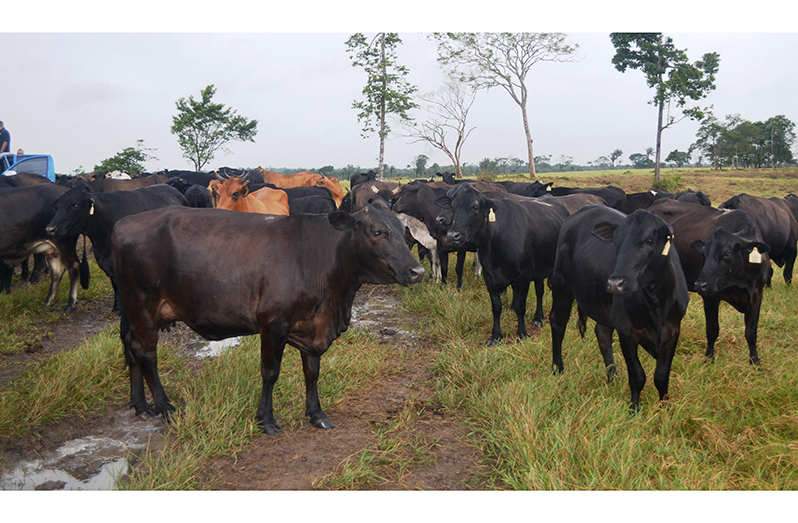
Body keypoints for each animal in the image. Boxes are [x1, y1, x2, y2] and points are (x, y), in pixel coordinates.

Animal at [113, 201, 428, 434]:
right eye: (376, 232)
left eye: (403, 230)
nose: (417, 271)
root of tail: (124, 222)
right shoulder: (273, 324)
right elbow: (270, 372)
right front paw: (266, 420)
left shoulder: (312, 325)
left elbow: (312, 371)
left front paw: (316, 414)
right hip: (143, 303)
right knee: (147, 354)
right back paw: (164, 407)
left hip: (133, 309)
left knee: (131, 345)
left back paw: (140, 404)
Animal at [552, 206, 692, 414]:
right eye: (616, 242)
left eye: (649, 241)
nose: (615, 283)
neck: (654, 303)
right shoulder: (626, 331)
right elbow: (637, 375)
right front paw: (634, 409)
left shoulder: (673, 330)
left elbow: (661, 375)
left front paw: (666, 407)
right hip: (561, 284)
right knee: (558, 324)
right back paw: (557, 368)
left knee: (602, 333)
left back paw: (613, 377)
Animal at [648, 199, 776, 366]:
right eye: (703, 254)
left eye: (727, 254)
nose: (700, 284)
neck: (741, 283)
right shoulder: (710, 296)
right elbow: (712, 329)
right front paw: (709, 357)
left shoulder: (757, 295)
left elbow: (751, 332)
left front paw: (755, 361)